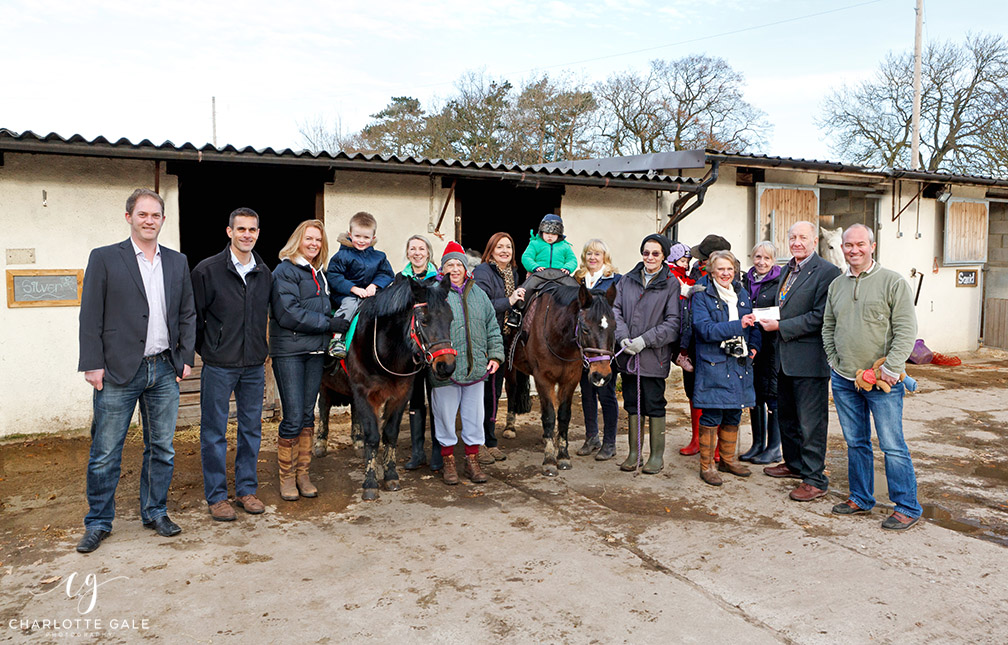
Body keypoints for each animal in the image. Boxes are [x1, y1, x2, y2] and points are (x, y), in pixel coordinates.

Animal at [314, 274, 457, 501]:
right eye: (424, 321)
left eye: (450, 319)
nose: (447, 366)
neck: (386, 350)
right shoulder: (365, 393)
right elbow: (373, 437)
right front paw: (370, 483)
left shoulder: (400, 395)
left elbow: (390, 434)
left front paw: (390, 476)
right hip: (325, 382)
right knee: (325, 405)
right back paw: (320, 443)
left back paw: (357, 442)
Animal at [512, 284, 612, 475]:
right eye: (585, 328)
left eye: (615, 326)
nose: (602, 375)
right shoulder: (543, 379)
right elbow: (549, 416)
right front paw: (549, 460)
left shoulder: (570, 379)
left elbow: (564, 416)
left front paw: (563, 456)